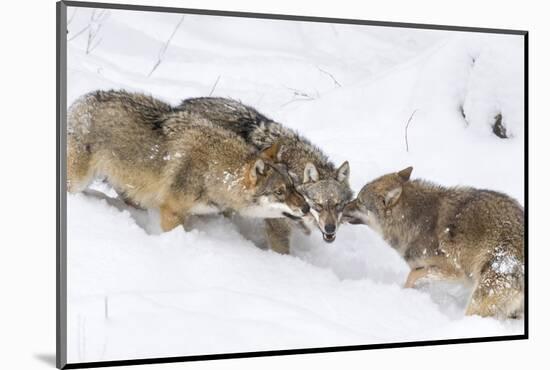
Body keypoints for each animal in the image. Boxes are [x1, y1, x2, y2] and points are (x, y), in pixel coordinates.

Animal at [66, 90, 310, 233]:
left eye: (294, 187)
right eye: (279, 192)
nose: (307, 208)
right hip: (78, 181)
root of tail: (80, 102)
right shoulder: (171, 212)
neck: (214, 170)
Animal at [344, 167, 528, 318]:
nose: (342, 206)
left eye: (360, 201)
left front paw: (404, 293)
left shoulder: (454, 271)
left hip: (478, 299)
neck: (412, 220)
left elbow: (413, 275)